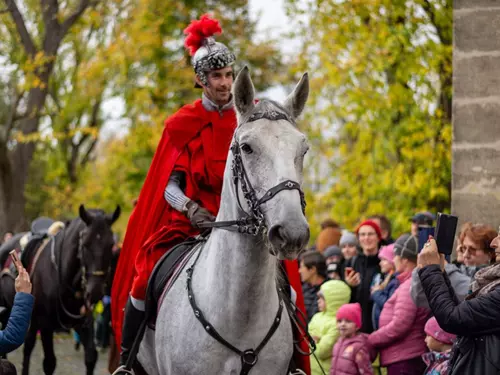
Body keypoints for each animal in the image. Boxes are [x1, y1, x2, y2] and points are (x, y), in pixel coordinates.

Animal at [0, 206, 120, 375]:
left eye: (110, 245)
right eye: (85, 244)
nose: (95, 291)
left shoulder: (83, 322)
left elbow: (91, 356)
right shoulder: (46, 325)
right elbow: (49, 363)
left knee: (28, 346)